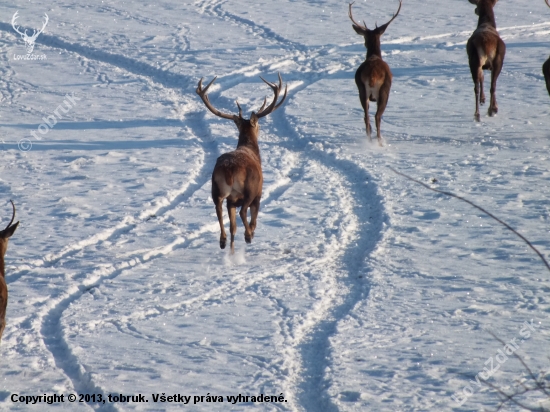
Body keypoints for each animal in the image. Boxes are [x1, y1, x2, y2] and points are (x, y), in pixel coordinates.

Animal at [196, 75, 288, 254]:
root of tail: (230, 170)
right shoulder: (259, 193)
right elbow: (254, 219)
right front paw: (249, 233)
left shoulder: (231, 201)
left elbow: (233, 228)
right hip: (250, 190)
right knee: (244, 212)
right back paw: (248, 235)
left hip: (218, 189)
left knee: (220, 211)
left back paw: (223, 241)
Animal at [352, 0, 404, 146]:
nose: (365, 43)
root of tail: (373, 75)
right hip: (383, 91)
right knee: (377, 116)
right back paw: (379, 142)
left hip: (361, 89)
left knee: (366, 116)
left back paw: (370, 140)